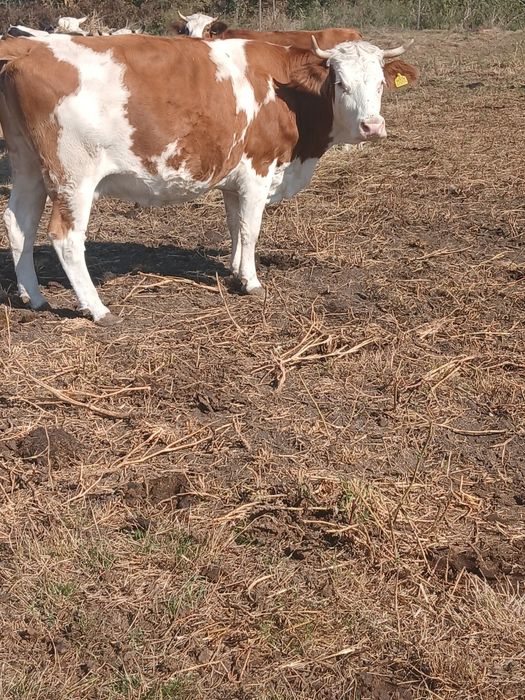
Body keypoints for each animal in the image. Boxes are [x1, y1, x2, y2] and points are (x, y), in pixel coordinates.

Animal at [0, 34, 416, 325]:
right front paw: (251, 281)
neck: (287, 91)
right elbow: (250, 228)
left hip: (28, 166)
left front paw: (234, 269)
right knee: (65, 237)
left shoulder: (235, 178)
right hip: (74, 176)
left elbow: (235, 225)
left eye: (380, 83)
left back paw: (33, 297)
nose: (372, 126)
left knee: (19, 223)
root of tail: (28, 50)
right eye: (341, 83)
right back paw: (97, 308)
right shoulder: (258, 169)